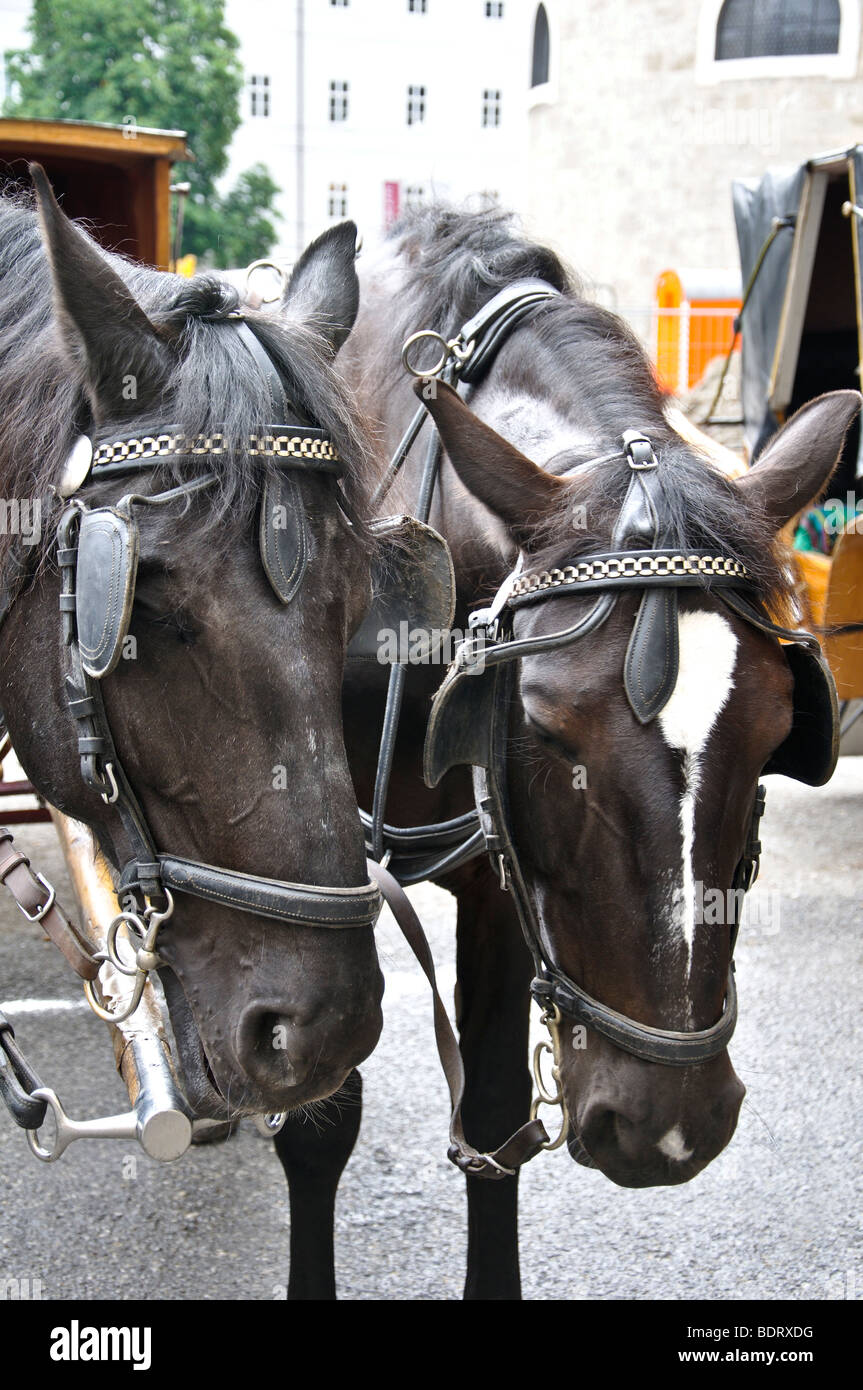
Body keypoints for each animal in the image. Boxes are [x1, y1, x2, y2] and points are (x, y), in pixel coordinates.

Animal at [266, 205, 860, 1301]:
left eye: (772, 738)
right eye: (543, 729)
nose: (667, 1128)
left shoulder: (504, 872)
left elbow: (496, 1119)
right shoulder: (316, 861)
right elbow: (318, 1110)